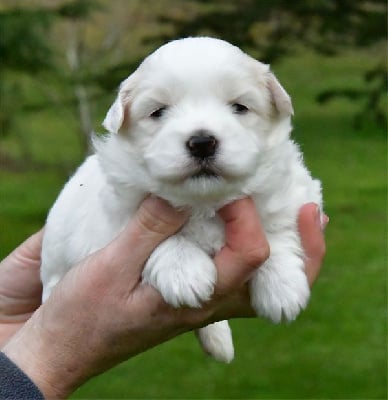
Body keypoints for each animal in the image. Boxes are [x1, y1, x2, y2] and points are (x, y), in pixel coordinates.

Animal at [41, 36, 322, 362]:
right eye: (158, 112)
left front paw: (282, 287)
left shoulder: (294, 193)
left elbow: (277, 229)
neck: (204, 202)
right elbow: (155, 240)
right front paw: (183, 271)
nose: (201, 142)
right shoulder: (114, 229)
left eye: (239, 107)